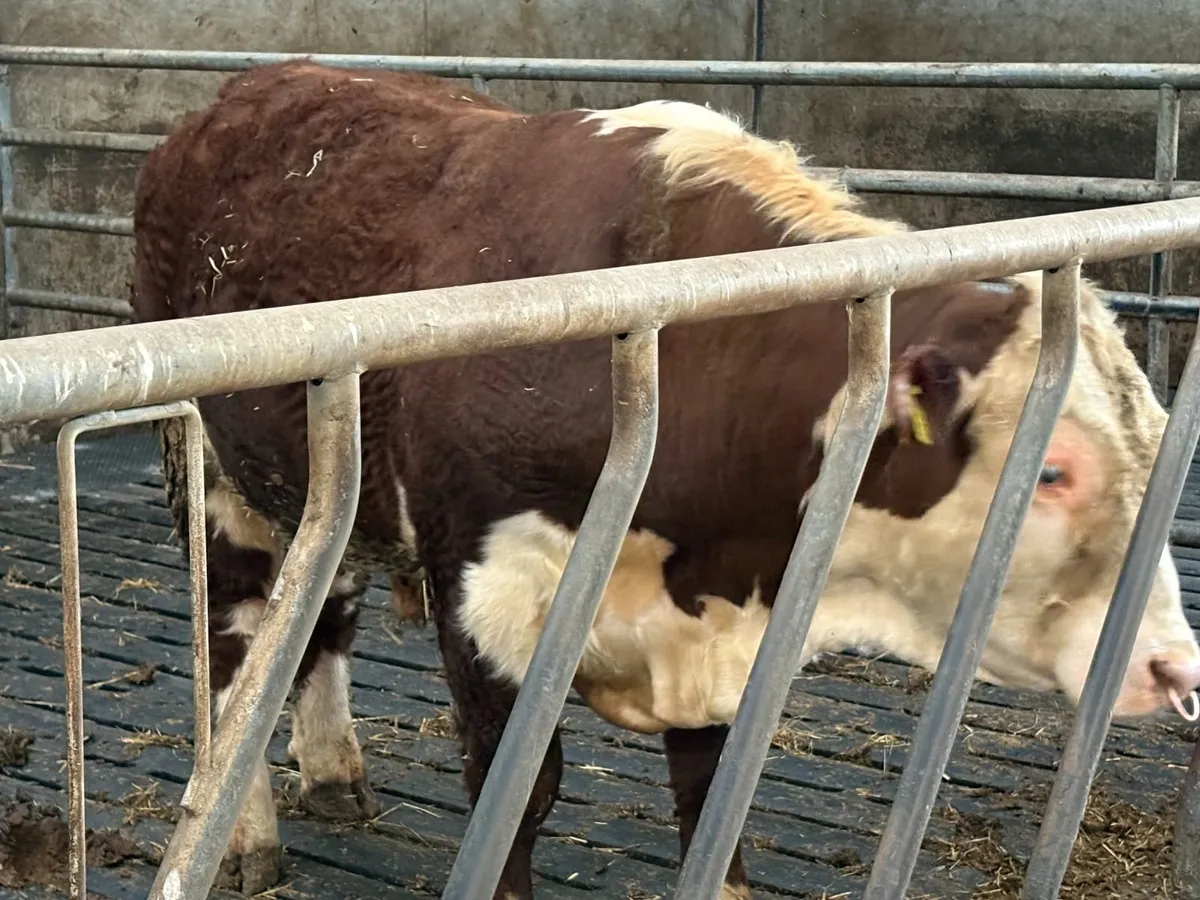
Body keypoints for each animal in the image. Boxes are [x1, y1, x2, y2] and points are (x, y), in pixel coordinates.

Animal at [129, 61, 1200, 900]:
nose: (1172, 668)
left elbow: (710, 799)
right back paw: (247, 835)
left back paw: (333, 771)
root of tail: (242, 91)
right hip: (220, 476)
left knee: (324, 615)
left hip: (328, 479)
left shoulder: (723, 632)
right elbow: (516, 798)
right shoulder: (482, 595)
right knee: (237, 646)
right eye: (1053, 469)